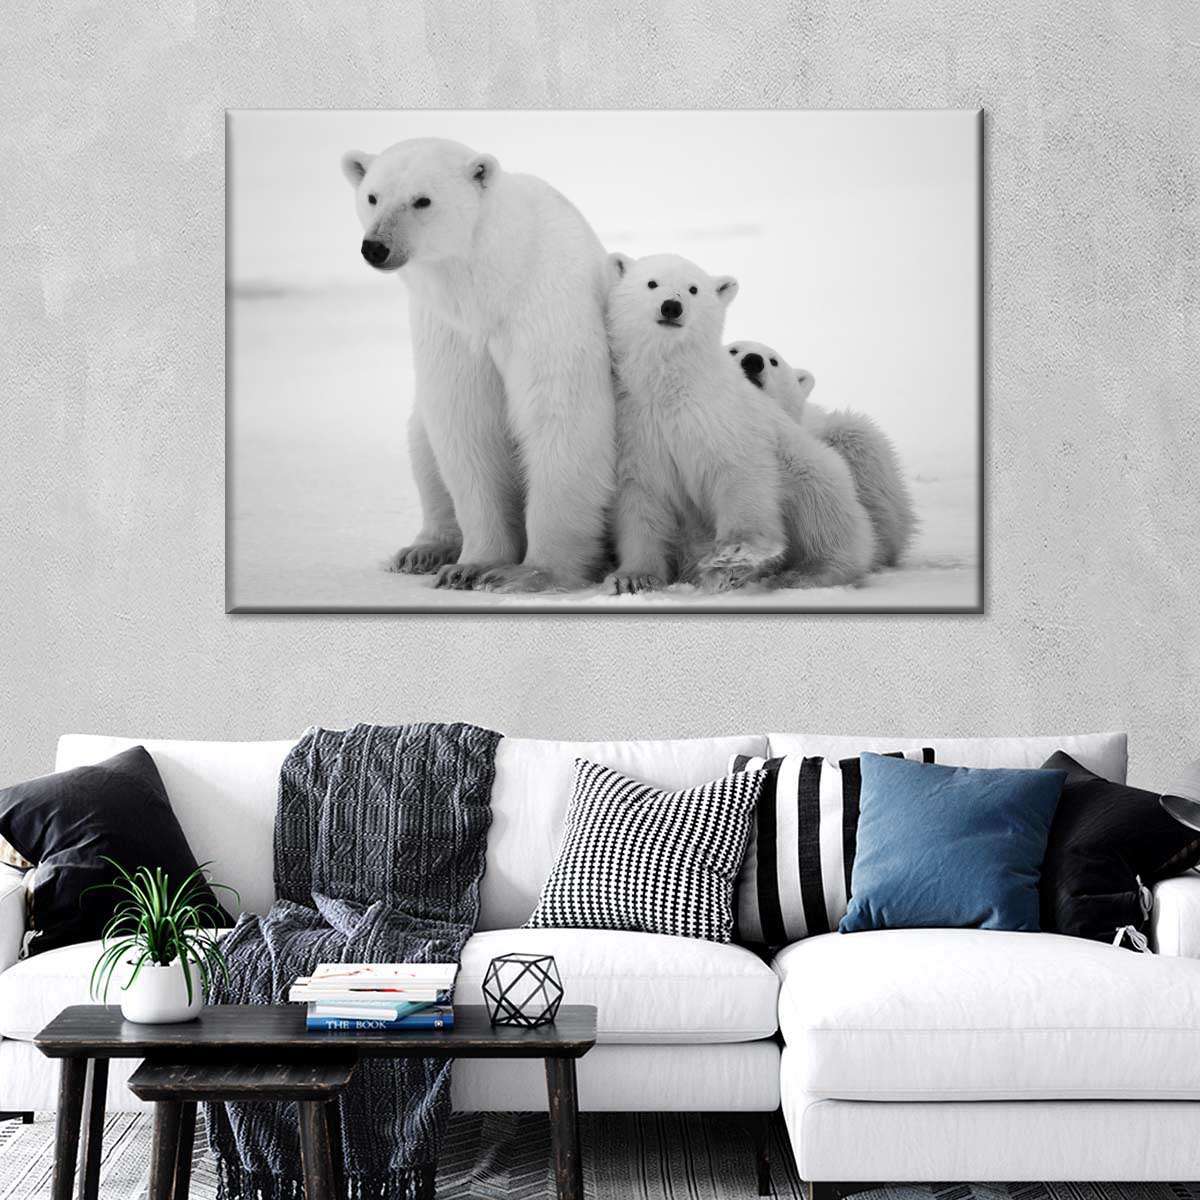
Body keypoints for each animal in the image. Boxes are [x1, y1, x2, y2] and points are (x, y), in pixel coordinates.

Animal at [341, 137, 615, 592]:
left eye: (422, 200)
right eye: (372, 196)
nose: (376, 247)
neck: (492, 282)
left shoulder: (546, 307)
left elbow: (561, 417)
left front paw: (529, 573)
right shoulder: (449, 329)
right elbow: (466, 424)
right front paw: (471, 566)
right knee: (422, 443)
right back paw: (423, 550)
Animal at [605, 253, 874, 594]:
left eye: (693, 289)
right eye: (651, 283)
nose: (671, 307)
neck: (671, 386)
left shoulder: (721, 415)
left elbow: (739, 472)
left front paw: (734, 555)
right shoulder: (637, 427)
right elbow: (641, 499)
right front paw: (633, 577)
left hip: (812, 468)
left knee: (822, 511)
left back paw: (806, 572)